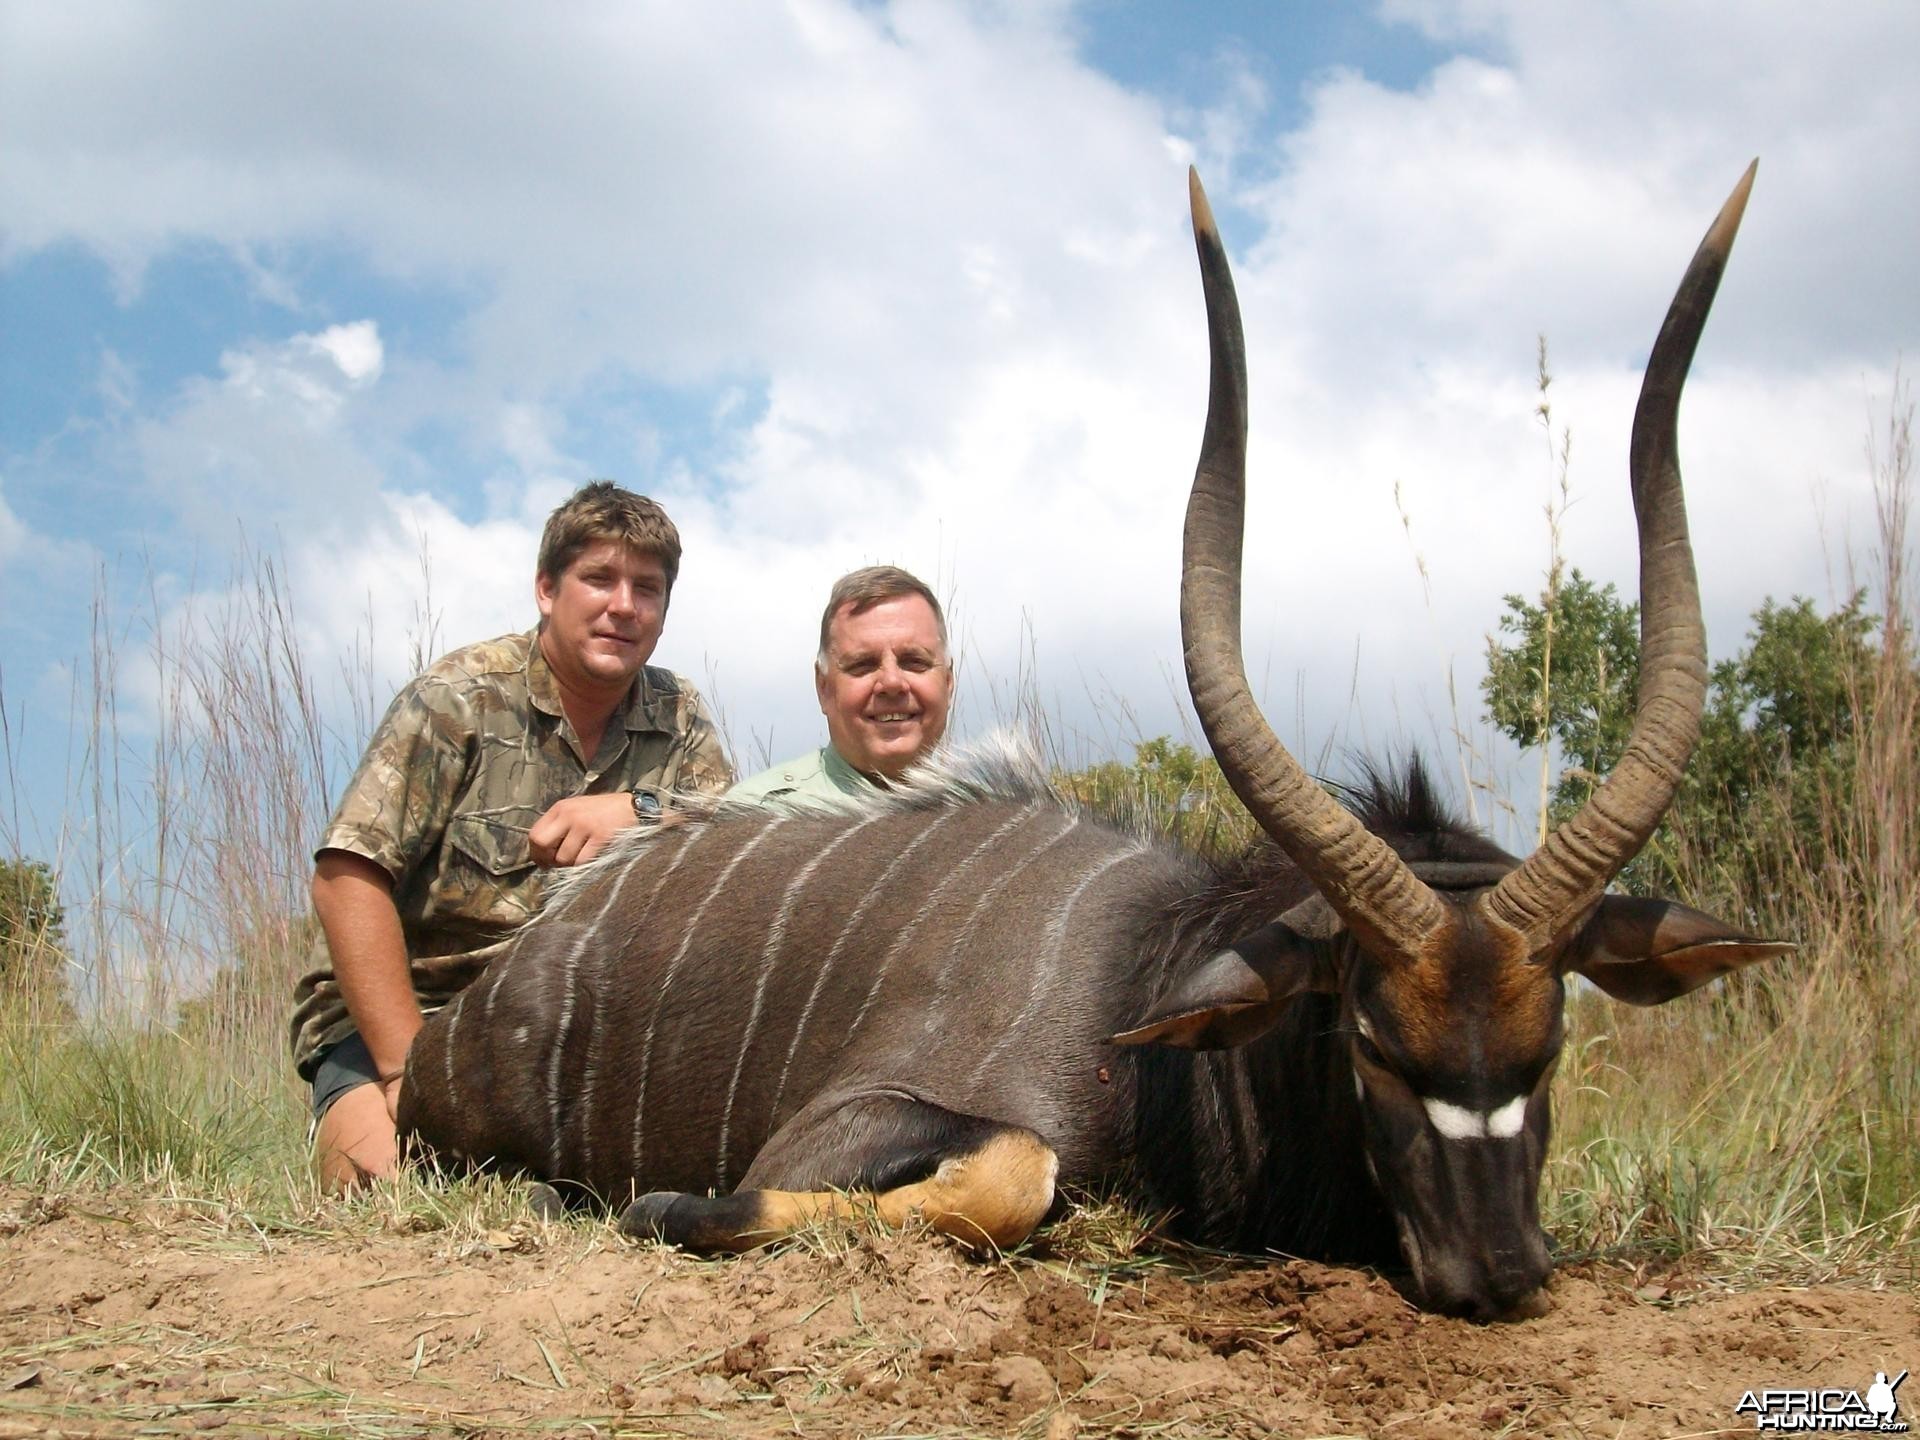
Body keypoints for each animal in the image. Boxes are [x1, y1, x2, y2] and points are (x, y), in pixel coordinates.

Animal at [397, 163, 1789, 1328]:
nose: (1498, 1275)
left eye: (1549, 1046)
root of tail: (484, 999)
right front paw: (666, 1206)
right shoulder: (839, 1127)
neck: (1145, 982)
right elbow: (1017, 1169)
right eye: (1372, 1043)